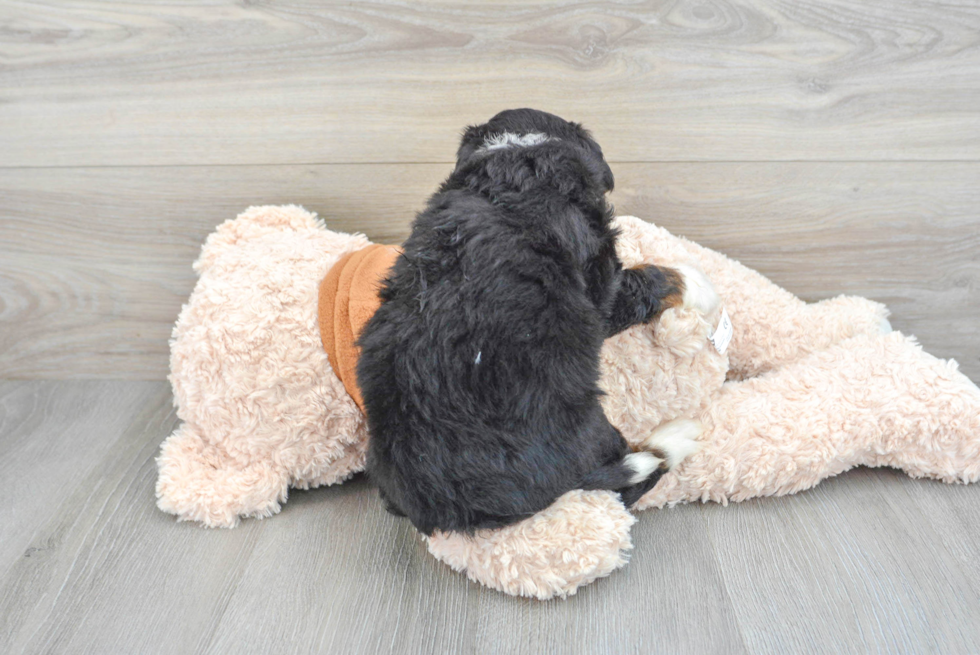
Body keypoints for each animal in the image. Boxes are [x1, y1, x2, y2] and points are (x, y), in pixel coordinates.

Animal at [356, 109, 716, 540]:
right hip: (585, 424)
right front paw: (697, 283)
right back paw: (673, 439)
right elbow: (646, 281)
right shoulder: (600, 289)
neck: (517, 160)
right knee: (622, 486)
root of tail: (453, 508)